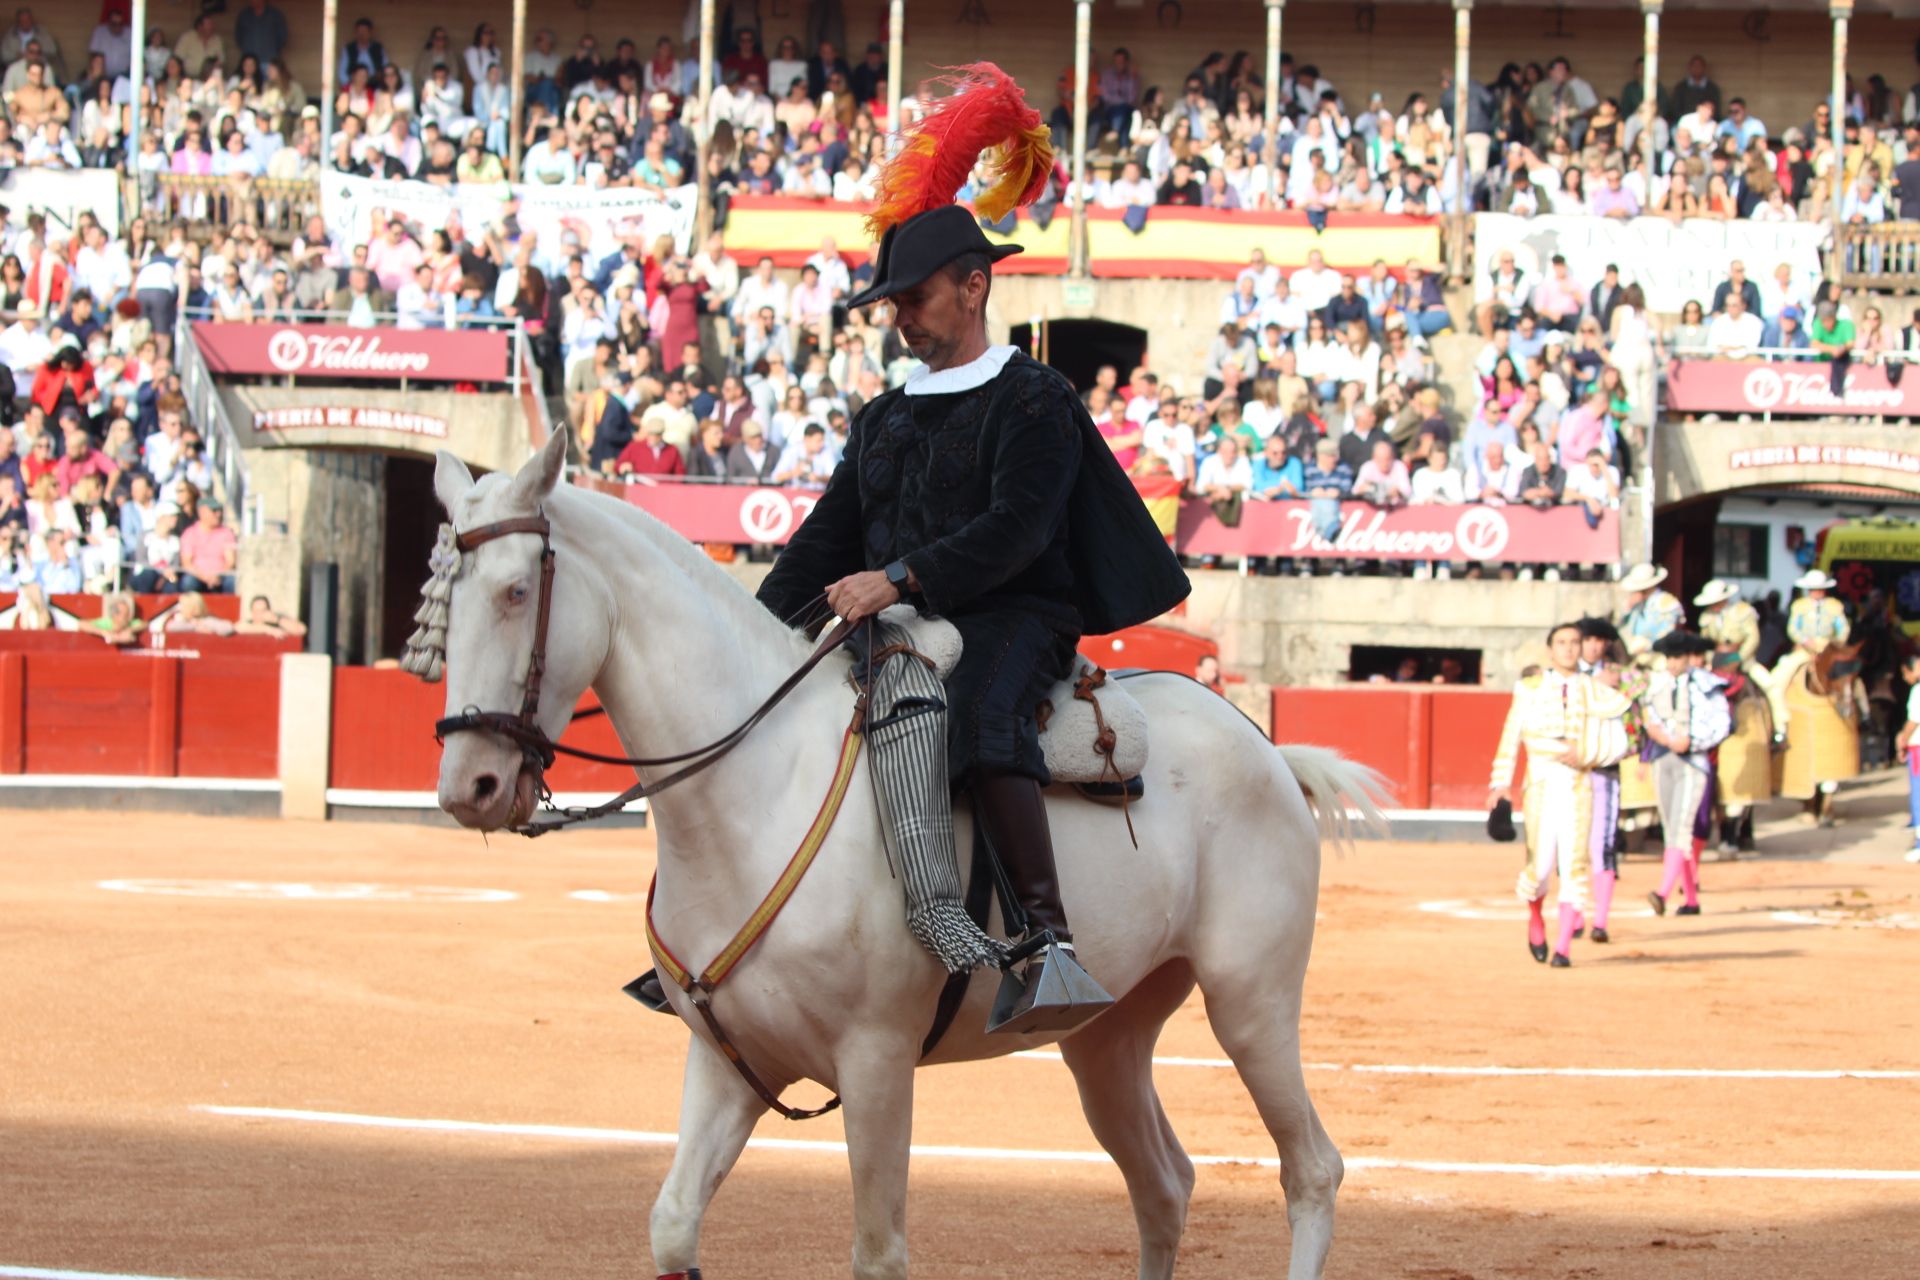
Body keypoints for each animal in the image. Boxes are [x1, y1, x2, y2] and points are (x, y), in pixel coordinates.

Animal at [435, 433, 1390, 1280]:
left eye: (516, 592)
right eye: (441, 599)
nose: (467, 785)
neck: (756, 788)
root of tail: (1267, 747)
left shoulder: (877, 1060)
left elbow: (878, 1251)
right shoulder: (728, 1059)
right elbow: (672, 1224)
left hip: (1251, 1002)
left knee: (1311, 1170)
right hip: (1109, 1037)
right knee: (1164, 1185)